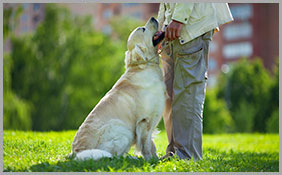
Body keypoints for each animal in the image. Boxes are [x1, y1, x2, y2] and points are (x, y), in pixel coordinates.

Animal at [71, 17, 166, 161]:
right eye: (143, 29)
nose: (153, 18)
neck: (144, 66)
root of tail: (76, 152)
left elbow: (151, 144)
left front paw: (157, 158)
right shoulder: (144, 120)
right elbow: (146, 145)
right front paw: (150, 160)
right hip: (122, 130)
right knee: (114, 156)